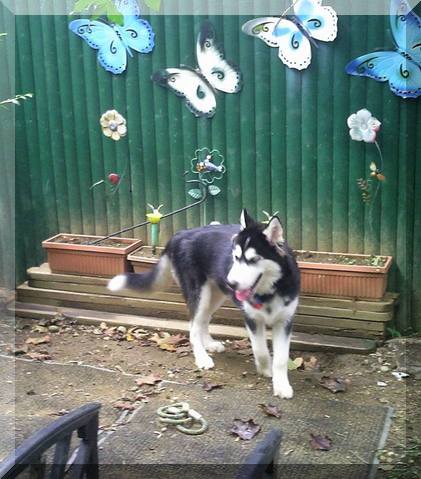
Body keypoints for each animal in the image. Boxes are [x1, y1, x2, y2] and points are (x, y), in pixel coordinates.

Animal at [108, 210, 298, 398]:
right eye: (236, 257)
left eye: (254, 260)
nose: (231, 283)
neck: (270, 291)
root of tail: (181, 233)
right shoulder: (251, 318)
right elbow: (260, 350)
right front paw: (266, 369)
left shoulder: (284, 321)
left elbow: (281, 359)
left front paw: (281, 385)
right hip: (200, 295)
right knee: (193, 327)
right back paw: (202, 357)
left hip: (215, 295)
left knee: (203, 320)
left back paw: (209, 344)